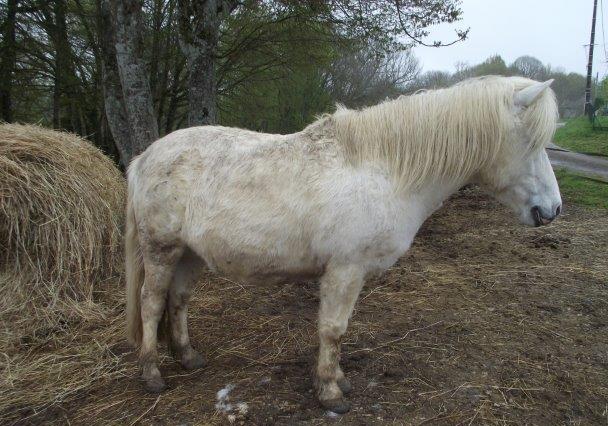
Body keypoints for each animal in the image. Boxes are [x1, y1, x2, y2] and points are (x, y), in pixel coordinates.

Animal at [126, 75, 564, 412]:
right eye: (532, 143)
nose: (552, 209)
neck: (384, 169)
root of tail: (145, 156)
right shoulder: (345, 270)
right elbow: (333, 330)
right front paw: (330, 392)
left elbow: (338, 330)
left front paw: (337, 379)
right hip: (162, 250)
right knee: (151, 303)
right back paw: (152, 373)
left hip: (190, 254)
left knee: (178, 300)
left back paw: (187, 357)